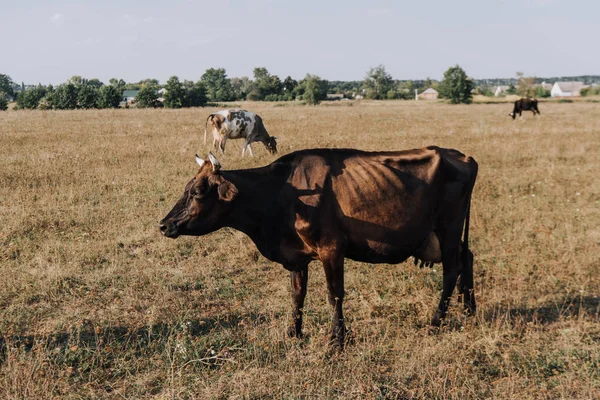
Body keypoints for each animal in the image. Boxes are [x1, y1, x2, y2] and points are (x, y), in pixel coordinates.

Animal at [159, 147, 478, 350]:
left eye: (198, 192)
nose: (164, 225)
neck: (282, 193)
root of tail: (461, 155)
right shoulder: (297, 256)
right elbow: (297, 294)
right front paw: (294, 333)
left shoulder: (331, 249)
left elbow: (333, 294)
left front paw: (337, 340)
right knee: (468, 258)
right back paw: (470, 310)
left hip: (448, 227)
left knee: (452, 270)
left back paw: (436, 321)